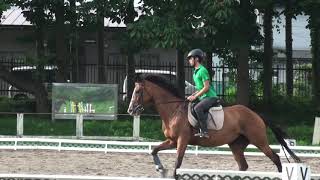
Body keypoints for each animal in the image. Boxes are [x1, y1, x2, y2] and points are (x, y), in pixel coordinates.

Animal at [127, 75, 300, 179]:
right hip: (236, 144)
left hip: (259, 140)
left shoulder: (182, 140)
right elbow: (154, 150)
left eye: (138, 91)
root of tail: (256, 115)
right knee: (243, 165)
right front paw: (161, 169)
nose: (131, 110)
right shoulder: (172, 141)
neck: (174, 110)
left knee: (275, 158)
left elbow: (177, 162)